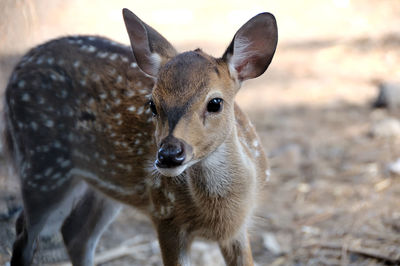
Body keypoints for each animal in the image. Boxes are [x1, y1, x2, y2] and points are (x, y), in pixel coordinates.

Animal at [3, 8, 278, 266]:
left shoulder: (237, 229)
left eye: (215, 103)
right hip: (42, 165)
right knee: (23, 234)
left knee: (75, 232)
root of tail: (17, 70)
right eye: (152, 104)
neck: (220, 214)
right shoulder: (165, 215)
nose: (168, 155)